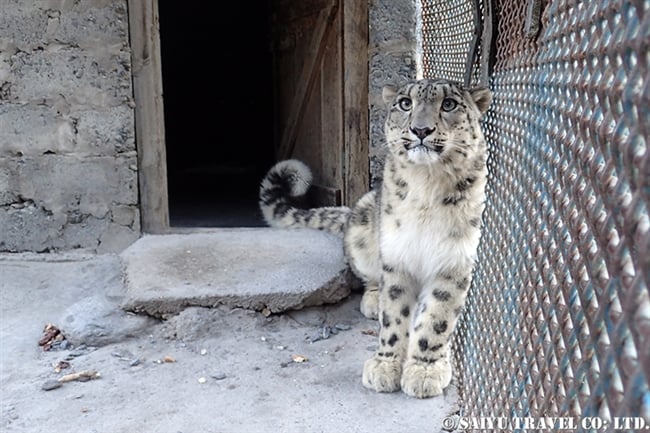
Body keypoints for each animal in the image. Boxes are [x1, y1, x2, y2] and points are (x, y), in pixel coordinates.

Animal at [258, 78, 492, 398]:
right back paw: (372, 301)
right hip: (363, 225)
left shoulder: (453, 262)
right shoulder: (396, 255)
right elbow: (394, 313)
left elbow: (437, 319)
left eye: (449, 104)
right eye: (405, 103)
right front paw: (385, 365)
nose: (421, 130)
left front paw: (424, 370)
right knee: (370, 277)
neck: (428, 184)